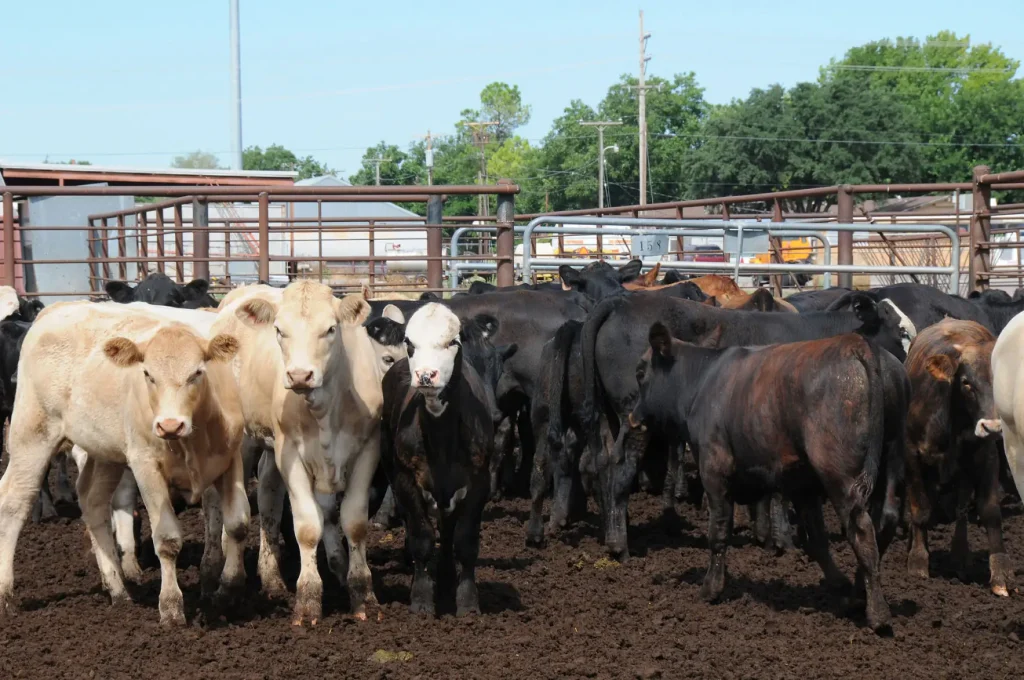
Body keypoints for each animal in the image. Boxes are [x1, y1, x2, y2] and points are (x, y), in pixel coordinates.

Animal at [0, 302, 248, 624]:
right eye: (148, 374)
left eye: (197, 372)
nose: (170, 425)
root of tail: (58, 308)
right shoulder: (145, 466)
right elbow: (167, 540)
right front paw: (171, 608)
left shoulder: (231, 459)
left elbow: (238, 525)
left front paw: (227, 591)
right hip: (31, 435)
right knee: (13, 503)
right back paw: (6, 596)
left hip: (104, 454)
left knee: (92, 500)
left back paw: (117, 589)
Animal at [212, 281, 382, 625]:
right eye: (279, 330)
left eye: (330, 329)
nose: (300, 375)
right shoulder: (290, 452)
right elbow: (306, 527)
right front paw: (308, 600)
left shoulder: (368, 448)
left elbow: (354, 522)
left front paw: (362, 594)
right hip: (245, 440)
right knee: (234, 511)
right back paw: (228, 580)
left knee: (268, 500)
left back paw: (272, 579)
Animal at [379, 303, 516, 615]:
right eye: (409, 342)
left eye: (453, 342)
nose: (426, 375)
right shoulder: (404, 479)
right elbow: (421, 537)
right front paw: (420, 600)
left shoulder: (478, 482)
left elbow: (465, 541)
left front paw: (467, 602)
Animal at [629, 327, 893, 632]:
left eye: (640, 372)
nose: (632, 417)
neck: (703, 381)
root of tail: (855, 342)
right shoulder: (802, 484)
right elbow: (817, 539)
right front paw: (839, 586)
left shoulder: (714, 470)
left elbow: (718, 532)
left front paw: (711, 589)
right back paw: (857, 597)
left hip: (840, 477)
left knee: (863, 533)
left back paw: (878, 615)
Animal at [903, 319, 1011, 597]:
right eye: (966, 382)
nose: (993, 427)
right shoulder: (912, 456)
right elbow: (920, 509)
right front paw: (917, 561)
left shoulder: (986, 455)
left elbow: (990, 511)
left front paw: (1000, 577)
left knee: (961, 508)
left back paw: (960, 556)